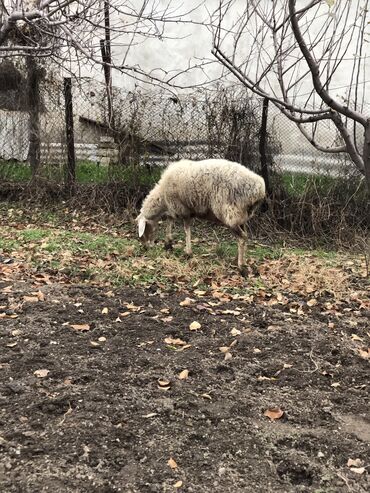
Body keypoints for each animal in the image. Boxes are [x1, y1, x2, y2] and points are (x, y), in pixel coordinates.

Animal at [136, 159, 266, 270]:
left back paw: (241, 266)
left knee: (242, 237)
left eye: (144, 229)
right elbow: (170, 220)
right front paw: (168, 243)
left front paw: (187, 252)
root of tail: (259, 188)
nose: (145, 248)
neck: (162, 196)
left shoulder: (182, 208)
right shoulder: (178, 208)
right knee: (244, 235)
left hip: (230, 212)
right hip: (242, 215)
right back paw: (238, 259)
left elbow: (186, 229)